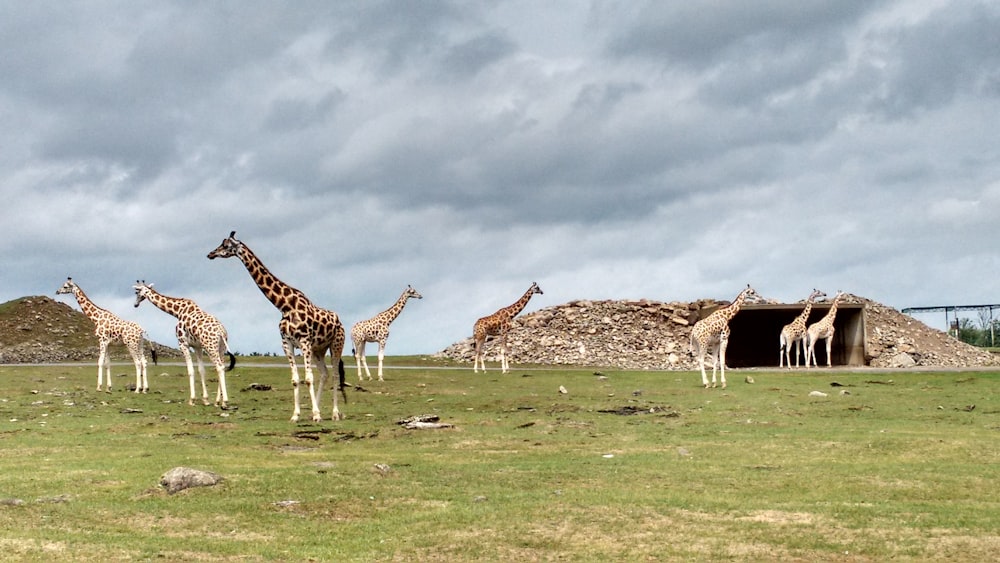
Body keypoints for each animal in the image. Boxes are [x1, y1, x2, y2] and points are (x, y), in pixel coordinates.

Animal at [133, 282, 236, 410]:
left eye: (137, 292)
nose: (135, 304)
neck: (178, 312)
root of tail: (221, 332)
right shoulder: (197, 346)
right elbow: (201, 370)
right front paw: (206, 400)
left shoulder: (183, 344)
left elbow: (190, 370)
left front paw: (192, 400)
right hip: (221, 348)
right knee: (222, 366)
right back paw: (218, 401)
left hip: (210, 346)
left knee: (220, 367)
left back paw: (225, 401)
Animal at [208, 232, 348, 424]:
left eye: (226, 245)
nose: (211, 254)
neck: (284, 305)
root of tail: (340, 322)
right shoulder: (287, 343)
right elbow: (296, 379)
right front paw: (297, 415)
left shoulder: (304, 342)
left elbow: (308, 378)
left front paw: (316, 415)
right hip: (318, 349)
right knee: (325, 374)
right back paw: (317, 410)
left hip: (336, 344)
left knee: (334, 374)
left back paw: (334, 413)